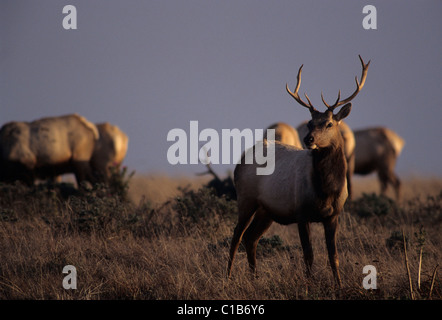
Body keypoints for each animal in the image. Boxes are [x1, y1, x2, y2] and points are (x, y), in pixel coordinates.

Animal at [228, 54, 370, 284]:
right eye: (310, 123)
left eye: (329, 124)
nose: (308, 139)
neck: (325, 190)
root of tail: (240, 161)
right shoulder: (301, 212)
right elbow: (309, 255)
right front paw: (310, 284)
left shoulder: (334, 215)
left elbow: (334, 256)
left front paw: (339, 285)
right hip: (246, 198)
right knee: (237, 235)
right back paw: (228, 276)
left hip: (266, 210)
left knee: (251, 237)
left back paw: (255, 277)